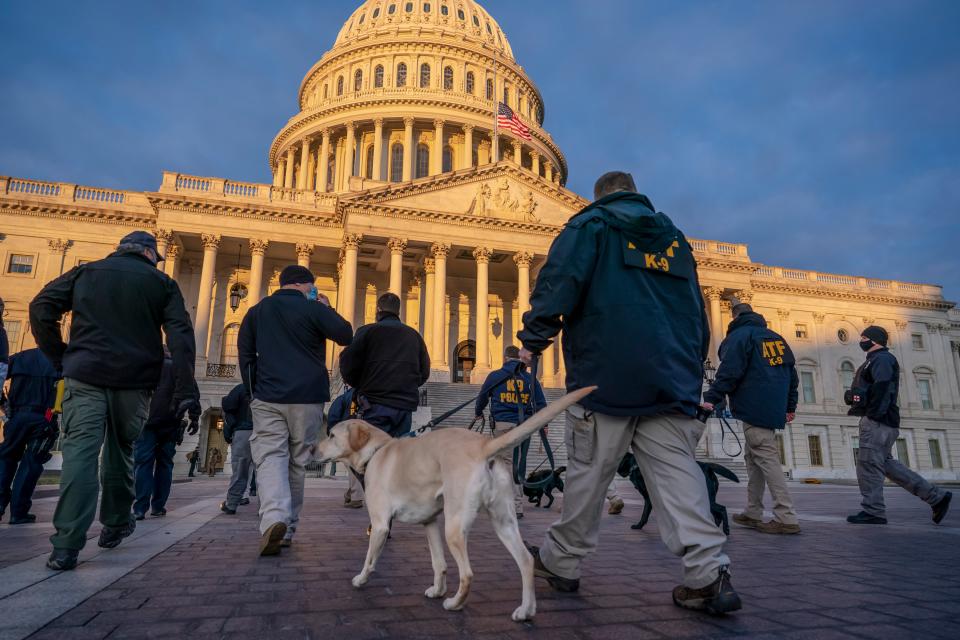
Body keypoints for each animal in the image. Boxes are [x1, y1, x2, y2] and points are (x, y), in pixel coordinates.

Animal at [316, 384, 596, 620]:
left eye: (331, 435)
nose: (312, 450)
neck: (377, 450)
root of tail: (485, 445)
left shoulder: (381, 524)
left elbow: (370, 559)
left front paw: (360, 579)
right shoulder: (430, 523)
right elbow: (438, 563)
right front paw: (437, 589)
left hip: (454, 526)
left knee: (468, 574)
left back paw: (454, 603)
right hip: (503, 522)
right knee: (526, 561)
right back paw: (525, 611)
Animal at [616, 456, 744, 536]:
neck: (635, 465)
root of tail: (707, 466)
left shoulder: (650, 498)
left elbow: (644, 514)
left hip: (707, 498)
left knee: (722, 509)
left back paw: (725, 529)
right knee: (717, 515)